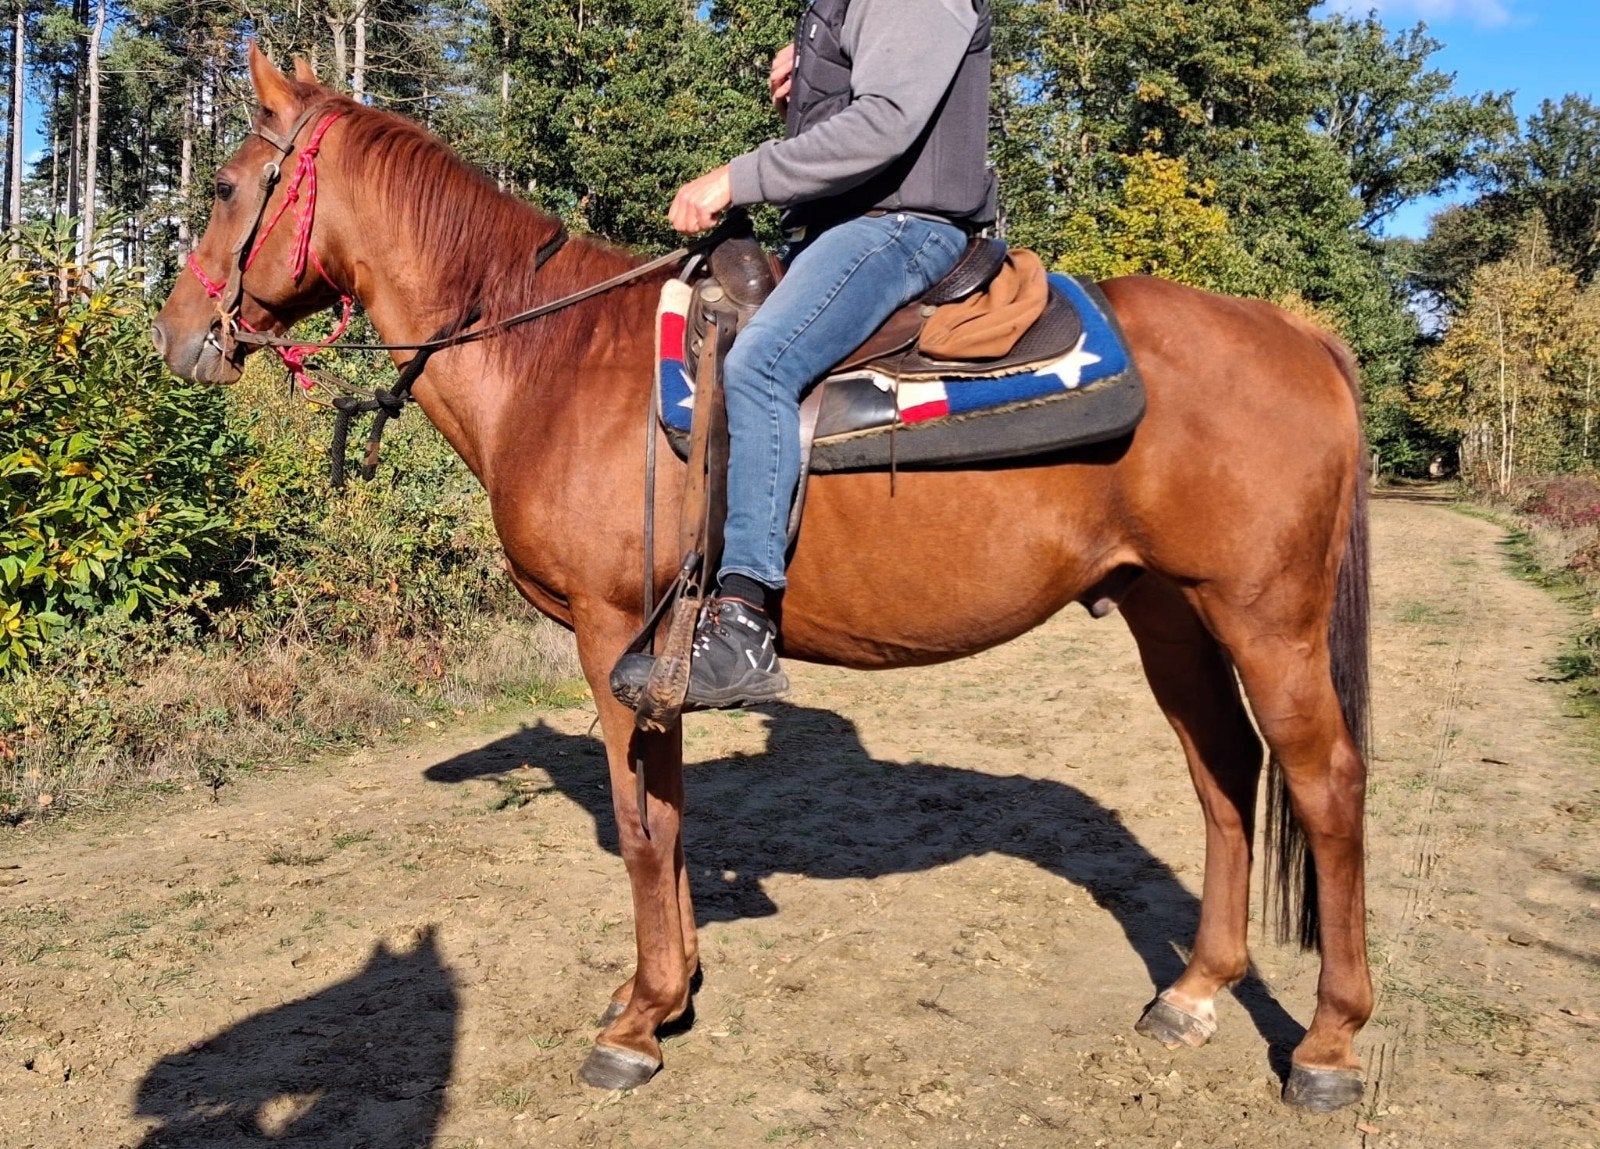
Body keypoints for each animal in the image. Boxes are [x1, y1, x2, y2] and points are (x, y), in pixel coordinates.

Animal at [152, 47, 1374, 1112]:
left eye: (223, 185)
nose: (175, 337)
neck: (553, 360)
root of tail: (1298, 335)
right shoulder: (657, 652)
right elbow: (671, 813)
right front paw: (668, 992)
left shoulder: (610, 636)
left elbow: (641, 825)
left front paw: (636, 1023)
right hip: (1169, 612)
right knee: (1223, 770)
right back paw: (1195, 991)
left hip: (1266, 619)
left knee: (1325, 786)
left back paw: (1327, 1044)